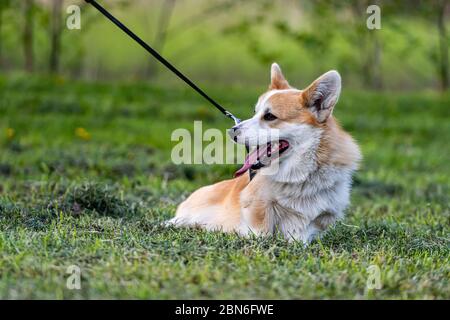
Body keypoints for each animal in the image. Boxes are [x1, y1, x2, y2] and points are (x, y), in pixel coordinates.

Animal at [169, 63, 362, 244]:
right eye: (255, 113)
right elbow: (262, 230)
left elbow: (305, 232)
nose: (231, 131)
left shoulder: (323, 215)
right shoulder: (256, 206)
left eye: (269, 116)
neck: (298, 176)